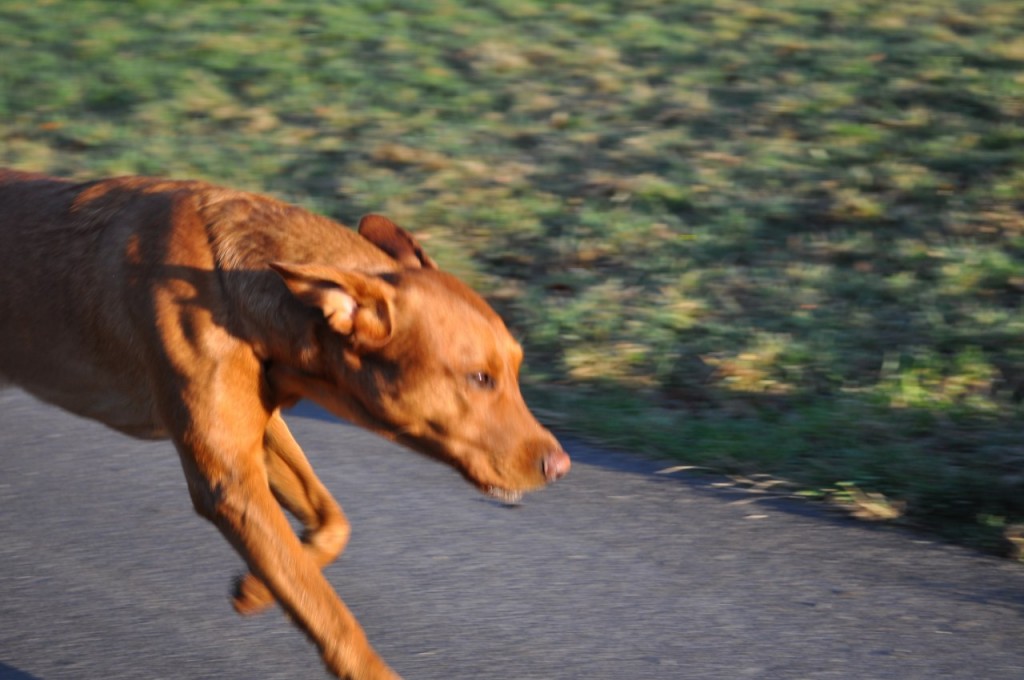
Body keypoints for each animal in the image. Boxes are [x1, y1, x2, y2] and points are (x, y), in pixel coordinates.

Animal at [0, 170, 569, 680]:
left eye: (516, 370)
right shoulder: (228, 482)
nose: (561, 466)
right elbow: (327, 612)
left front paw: (257, 587)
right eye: (479, 377)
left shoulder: (258, 435)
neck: (228, 289)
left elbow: (326, 530)